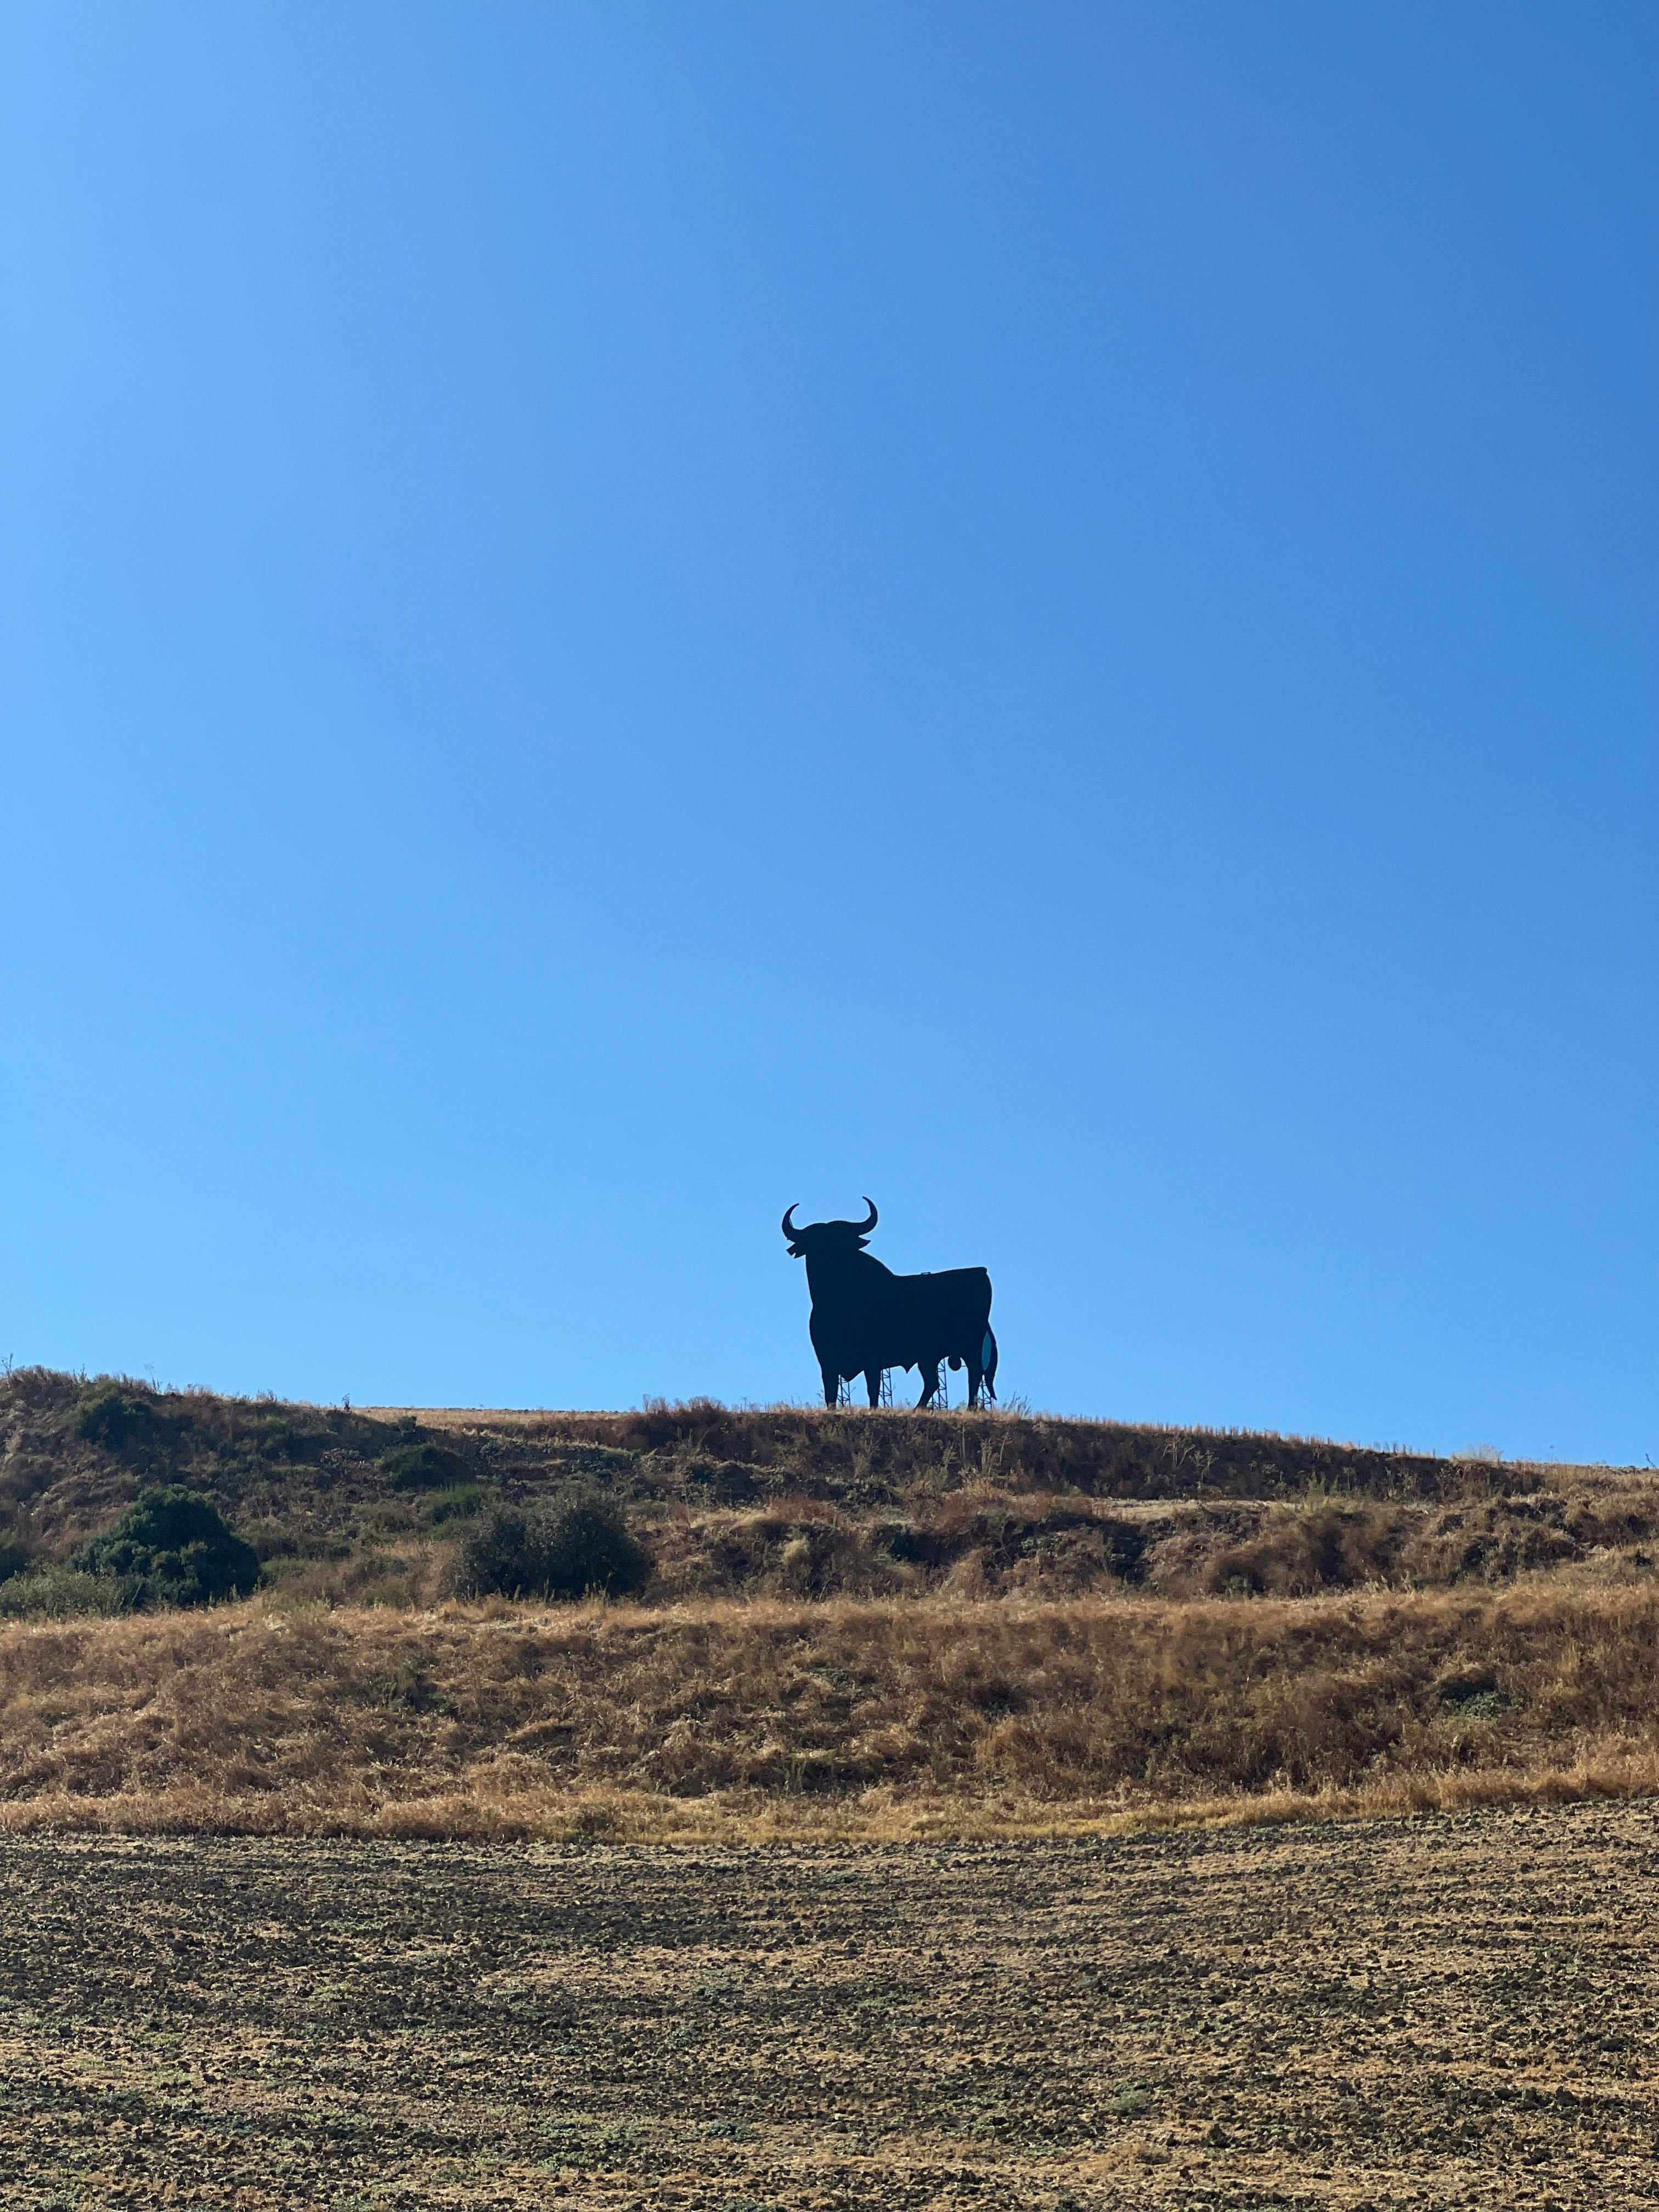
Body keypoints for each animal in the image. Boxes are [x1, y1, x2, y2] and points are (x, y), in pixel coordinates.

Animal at [781, 1199, 998, 1410]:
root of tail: (981, 1272)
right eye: (814, 1244)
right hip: (929, 1356)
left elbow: (873, 1389)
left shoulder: (873, 1360)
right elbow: (831, 1393)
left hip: (971, 1345)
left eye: (842, 1242)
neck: (838, 1303)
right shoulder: (827, 1361)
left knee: (974, 1375)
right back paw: (919, 1410)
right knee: (933, 1382)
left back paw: (969, 1409)